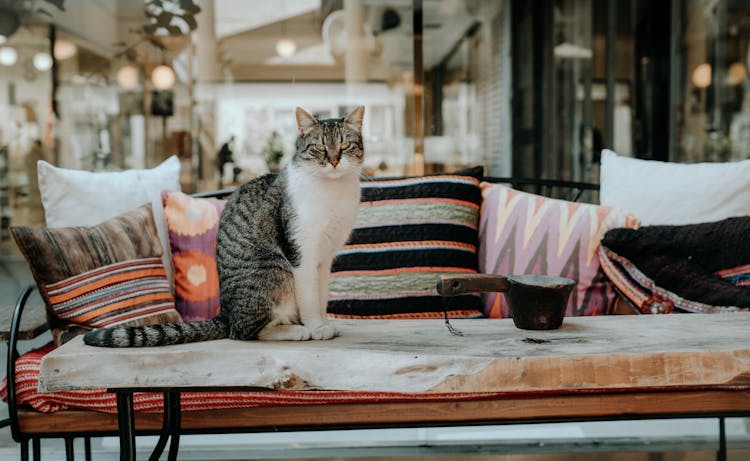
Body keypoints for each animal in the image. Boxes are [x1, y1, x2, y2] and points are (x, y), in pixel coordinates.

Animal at [85, 106, 368, 346]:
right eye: (320, 147)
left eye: (344, 144)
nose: (333, 160)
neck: (333, 191)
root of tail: (225, 313)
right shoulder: (302, 254)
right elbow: (309, 298)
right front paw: (316, 327)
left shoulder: (326, 256)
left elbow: (321, 296)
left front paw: (325, 322)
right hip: (274, 270)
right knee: (245, 331)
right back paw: (295, 330)